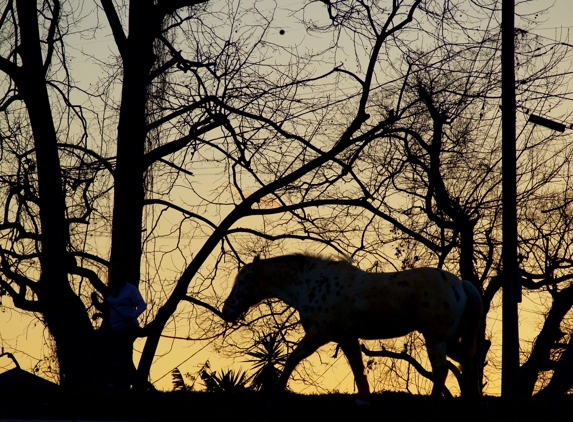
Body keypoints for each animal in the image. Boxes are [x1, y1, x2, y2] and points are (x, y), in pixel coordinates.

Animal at [221, 252, 480, 404]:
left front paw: (276, 390)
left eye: (241, 282)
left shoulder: (319, 334)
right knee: (467, 364)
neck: (311, 283)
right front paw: (363, 399)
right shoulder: (346, 338)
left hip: (435, 338)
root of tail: (460, 284)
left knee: (441, 370)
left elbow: (293, 358)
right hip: (450, 340)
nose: (226, 311)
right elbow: (357, 368)